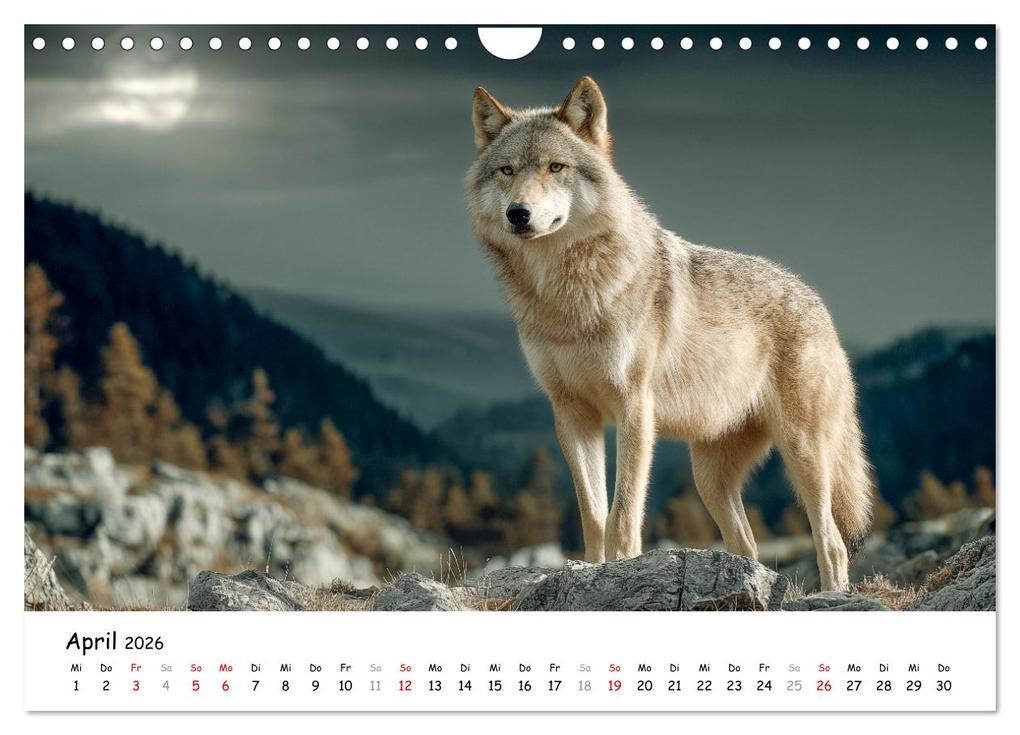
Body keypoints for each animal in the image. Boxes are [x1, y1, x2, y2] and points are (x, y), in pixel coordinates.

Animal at [466, 77, 874, 591]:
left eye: (556, 167)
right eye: (507, 170)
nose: (518, 213)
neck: (566, 299)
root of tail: (818, 302)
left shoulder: (635, 408)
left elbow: (622, 515)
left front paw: (620, 568)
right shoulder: (572, 413)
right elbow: (593, 514)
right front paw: (590, 571)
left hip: (804, 457)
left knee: (833, 541)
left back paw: (831, 594)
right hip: (709, 477)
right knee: (748, 546)